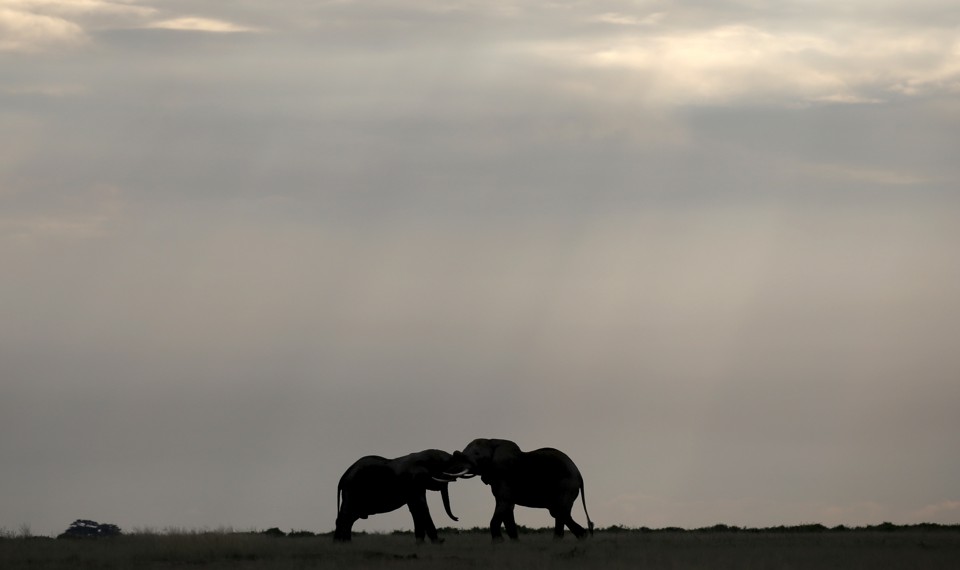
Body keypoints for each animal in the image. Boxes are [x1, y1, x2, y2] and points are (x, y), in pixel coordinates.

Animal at [334, 449, 464, 543]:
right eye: (443, 468)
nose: (457, 518)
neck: (421, 455)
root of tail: (343, 476)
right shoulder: (413, 482)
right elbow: (421, 506)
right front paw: (438, 542)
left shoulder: (416, 486)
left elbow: (415, 508)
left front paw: (420, 542)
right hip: (352, 490)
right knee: (346, 515)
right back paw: (341, 543)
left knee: (349, 517)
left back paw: (345, 542)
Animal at [445, 438, 593, 540]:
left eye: (477, 454)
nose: (455, 453)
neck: (492, 441)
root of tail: (579, 474)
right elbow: (507, 511)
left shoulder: (504, 477)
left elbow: (503, 505)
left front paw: (499, 543)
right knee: (559, 514)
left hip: (566, 486)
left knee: (560, 512)